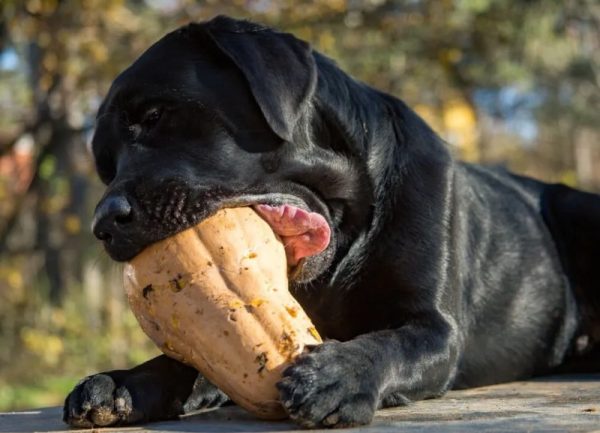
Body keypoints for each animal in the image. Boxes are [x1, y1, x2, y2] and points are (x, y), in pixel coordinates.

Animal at [62, 15, 600, 426]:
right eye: (105, 166)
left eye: (154, 117)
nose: (104, 223)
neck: (349, 237)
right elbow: (189, 360)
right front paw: (121, 382)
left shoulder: (435, 327)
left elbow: (389, 341)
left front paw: (336, 375)